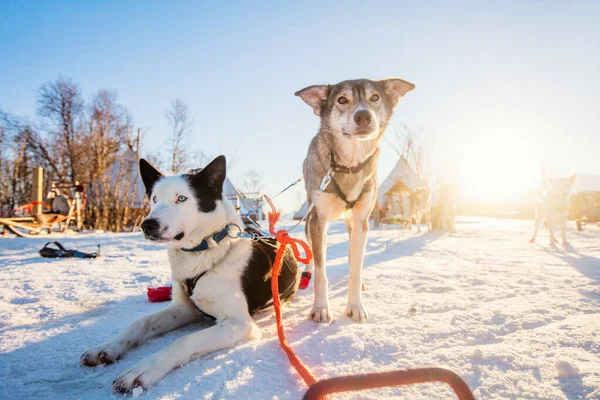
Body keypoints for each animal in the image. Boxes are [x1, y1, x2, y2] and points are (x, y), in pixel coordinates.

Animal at [82, 157, 300, 394]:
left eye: (182, 198)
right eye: (154, 199)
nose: (147, 225)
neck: (205, 251)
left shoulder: (241, 324)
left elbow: (185, 341)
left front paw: (145, 368)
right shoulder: (184, 309)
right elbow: (141, 322)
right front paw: (108, 346)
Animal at [294, 79, 412, 324]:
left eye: (375, 97)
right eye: (342, 99)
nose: (363, 116)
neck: (348, 165)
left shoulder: (361, 221)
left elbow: (356, 269)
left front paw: (355, 306)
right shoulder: (318, 219)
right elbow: (321, 270)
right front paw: (321, 308)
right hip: (313, 221)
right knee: (314, 252)